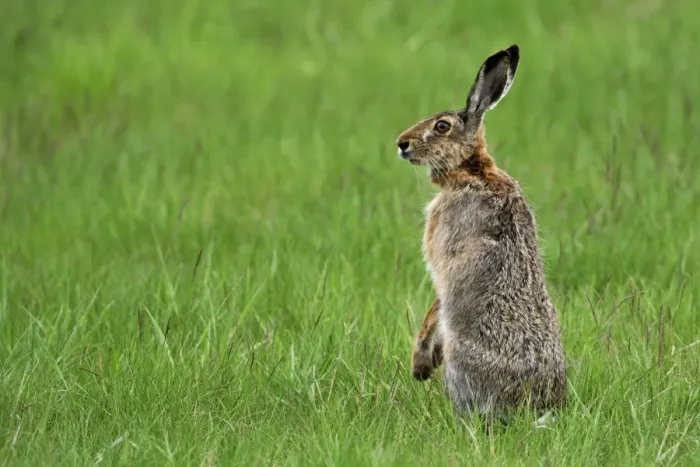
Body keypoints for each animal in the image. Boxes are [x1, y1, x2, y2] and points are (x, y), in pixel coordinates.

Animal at [395, 44, 567, 420]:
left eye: (441, 126)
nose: (401, 143)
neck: (471, 170)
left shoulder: (441, 262)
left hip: (460, 357)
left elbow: (436, 304)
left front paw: (420, 364)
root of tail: (534, 406)